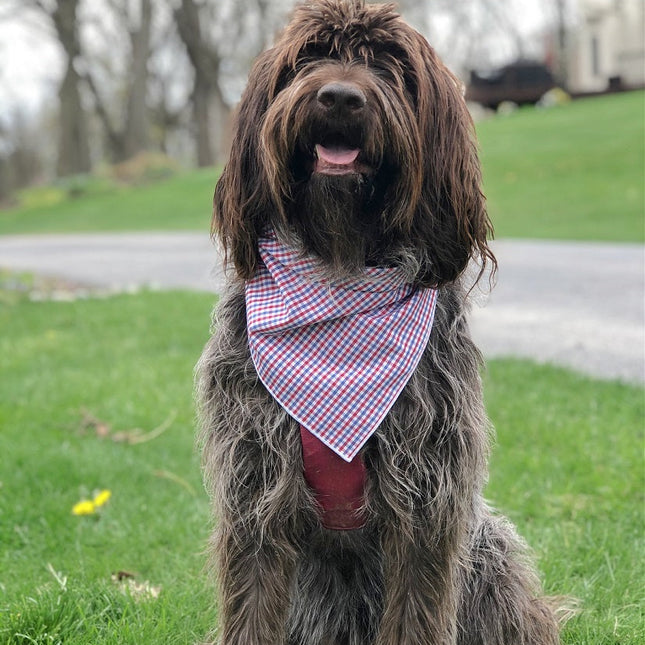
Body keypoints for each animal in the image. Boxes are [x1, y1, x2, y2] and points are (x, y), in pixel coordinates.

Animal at [195, 1, 560, 644]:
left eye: (391, 67)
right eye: (308, 58)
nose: (340, 98)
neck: (339, 266)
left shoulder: (426, 502)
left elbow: (416, 611)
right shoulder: (255, 492)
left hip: (489, 556)